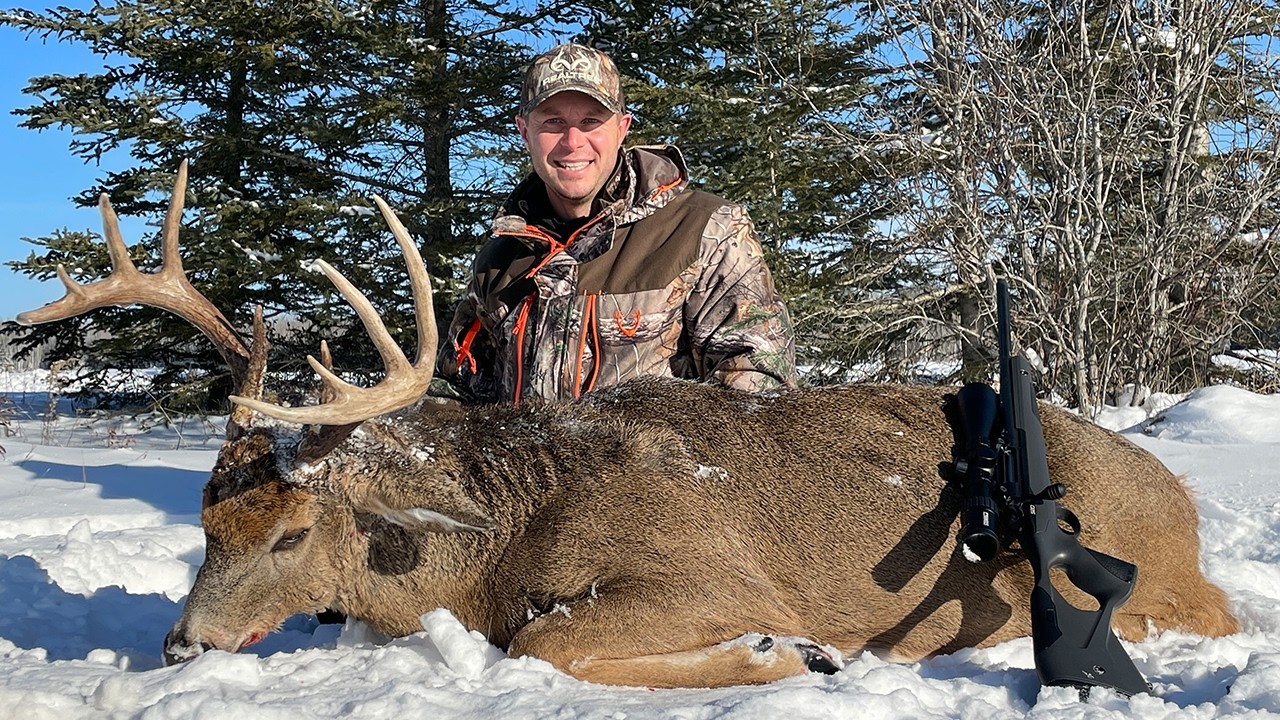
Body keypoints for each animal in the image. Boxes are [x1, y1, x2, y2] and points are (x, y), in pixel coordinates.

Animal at [17, 163, 1238, 689]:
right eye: (204, 525)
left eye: (288, 534)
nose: (178, 647)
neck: (499, 548)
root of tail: (1180, 497)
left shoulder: (704, 566)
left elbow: (546, 642)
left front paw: (782, 652)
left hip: (1127, 545)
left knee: (1198, 610)